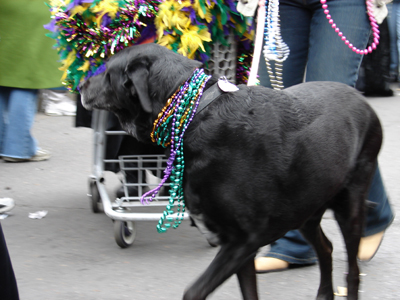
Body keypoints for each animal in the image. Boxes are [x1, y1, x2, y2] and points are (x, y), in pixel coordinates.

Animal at [79, 43, 382, 298]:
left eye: (107, 71)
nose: (80, 84)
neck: (196, 115)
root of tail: (362, 99)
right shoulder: (240, 249)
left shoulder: (243, 241)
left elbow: (193, 291)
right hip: (305, 210)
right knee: (327, 249)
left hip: (350, 206)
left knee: (353, 271)